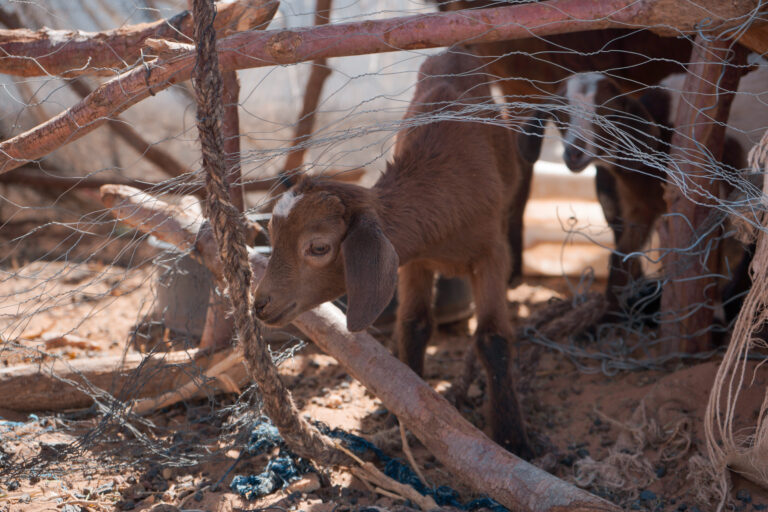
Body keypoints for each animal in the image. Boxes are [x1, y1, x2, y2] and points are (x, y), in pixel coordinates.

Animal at [253, 48, 534, 458]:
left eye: (318, 247)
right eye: (271, 236)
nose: (259, 304)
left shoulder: (490, 255)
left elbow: (492, 339)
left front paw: (513, 439)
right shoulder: (412, 262)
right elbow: (413, 326)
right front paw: (406, 417)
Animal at [516, 71, 747, 318]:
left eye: (609, 114)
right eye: (560, 114)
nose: (573, 153)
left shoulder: (709, 199)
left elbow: (710, 255)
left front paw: (712, 310)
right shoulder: (638, 207)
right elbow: (621, 257)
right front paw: (609, 315)